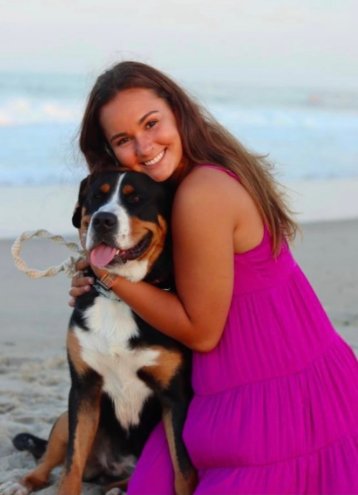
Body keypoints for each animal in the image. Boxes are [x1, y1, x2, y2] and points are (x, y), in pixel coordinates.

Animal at [7, 171, 197, 495]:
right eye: (98, 196)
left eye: (136, 198)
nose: (103, 220)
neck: (119, 299)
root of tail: (112, 468)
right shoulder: (83, 388)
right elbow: (70, 466)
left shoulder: (176, 397)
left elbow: (183, 471)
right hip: (64, 418)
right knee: (49, 460)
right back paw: (24, 483)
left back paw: (117, 487)